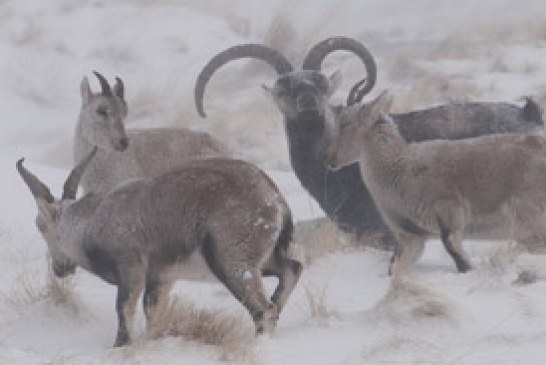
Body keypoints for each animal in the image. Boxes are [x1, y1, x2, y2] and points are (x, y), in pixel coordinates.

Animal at [15, 149, 302, 346]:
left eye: (40, 226)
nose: (60, 269)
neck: (92, 223)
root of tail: (274, 197)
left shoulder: (130, 267)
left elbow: (124, 309)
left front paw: (121, 347)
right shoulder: (161, 276)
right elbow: (152, 312)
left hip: (231, 260)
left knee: (263, 309)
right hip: (264, 259)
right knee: (292, 270)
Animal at [324, 91, 544, 276]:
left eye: (345, 124)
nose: (329, 159)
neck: (399, 167)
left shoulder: (449, 209)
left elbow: (452, 246)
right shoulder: (411, 236)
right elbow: (396, 266)